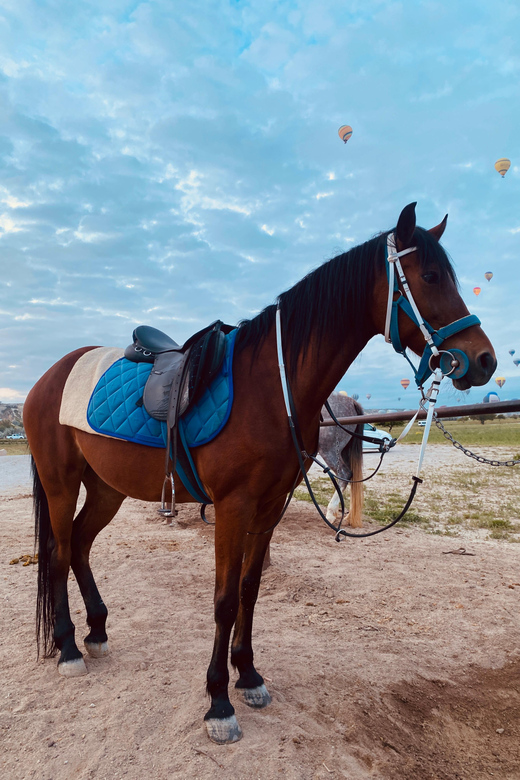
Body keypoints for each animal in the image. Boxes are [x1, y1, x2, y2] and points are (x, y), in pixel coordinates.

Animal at [23, 203, 496, 744]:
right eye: (431, 276)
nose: (484, 360)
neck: (274, 386)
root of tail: (50, 376)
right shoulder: (233, 507)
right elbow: (225, 599)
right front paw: (218, 702)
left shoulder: (270, 506)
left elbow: (250, 589)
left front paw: (247, 675)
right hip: (61, 484)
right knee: (59, 555)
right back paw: (68, 648)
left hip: (105, 489)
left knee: (80, 546)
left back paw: (97, 631)